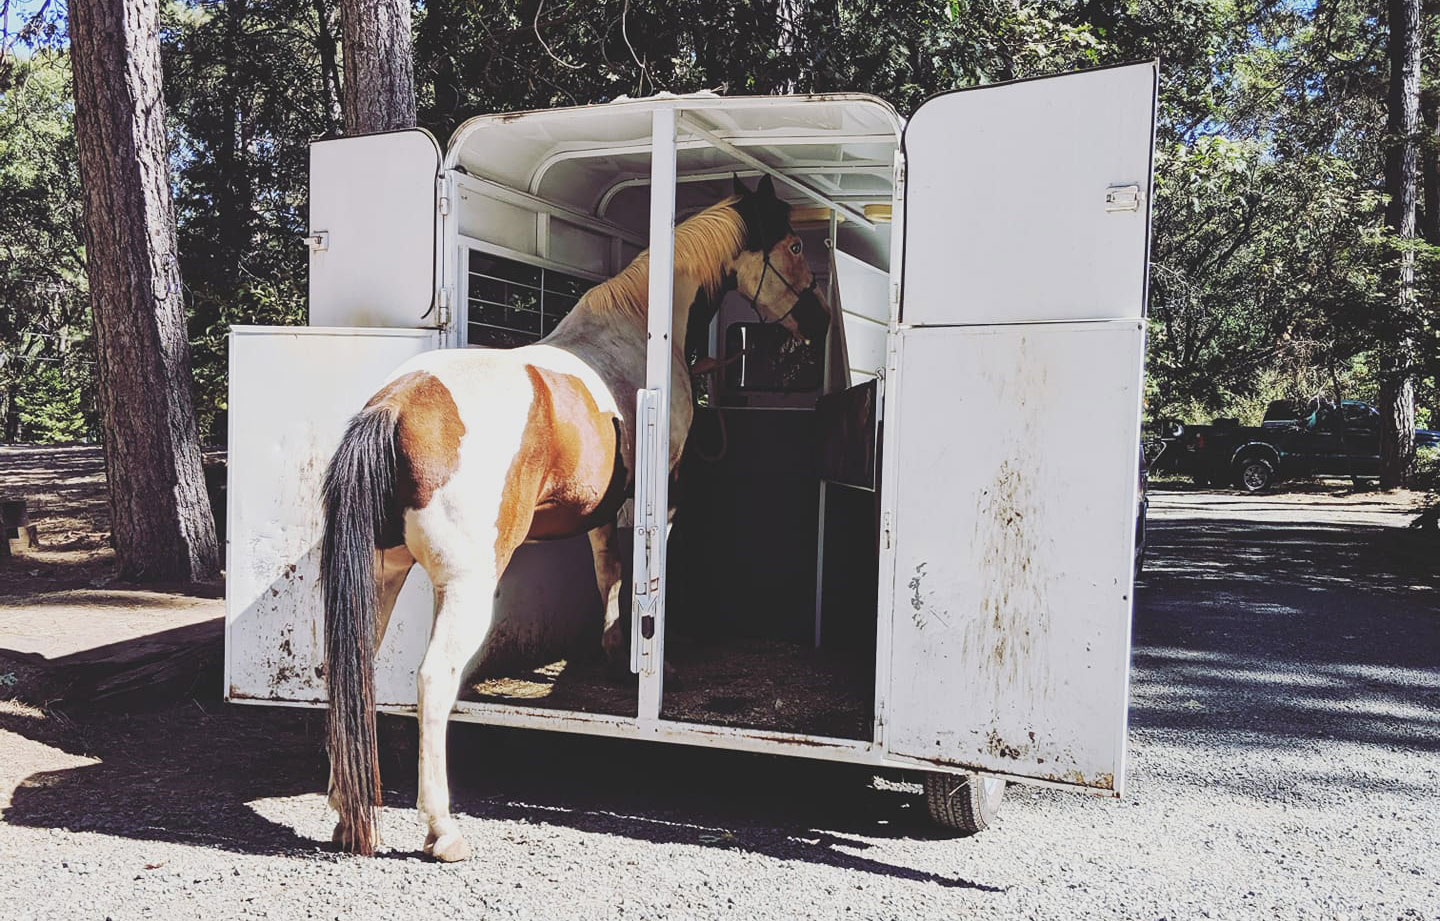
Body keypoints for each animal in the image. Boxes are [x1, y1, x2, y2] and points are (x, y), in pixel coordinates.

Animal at [319, 175, 831, 861]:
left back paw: (346, 813)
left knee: (355, 669)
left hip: (383, 573)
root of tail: (396, 406)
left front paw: (616, 654)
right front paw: (649, 659)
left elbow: (608, 571)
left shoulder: (600, 511)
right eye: (796, 244)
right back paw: (443, 829)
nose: (819, 321)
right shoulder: (660, 495)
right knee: (433, 680)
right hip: (465, 587)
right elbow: (643, 575)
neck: (641, 328)